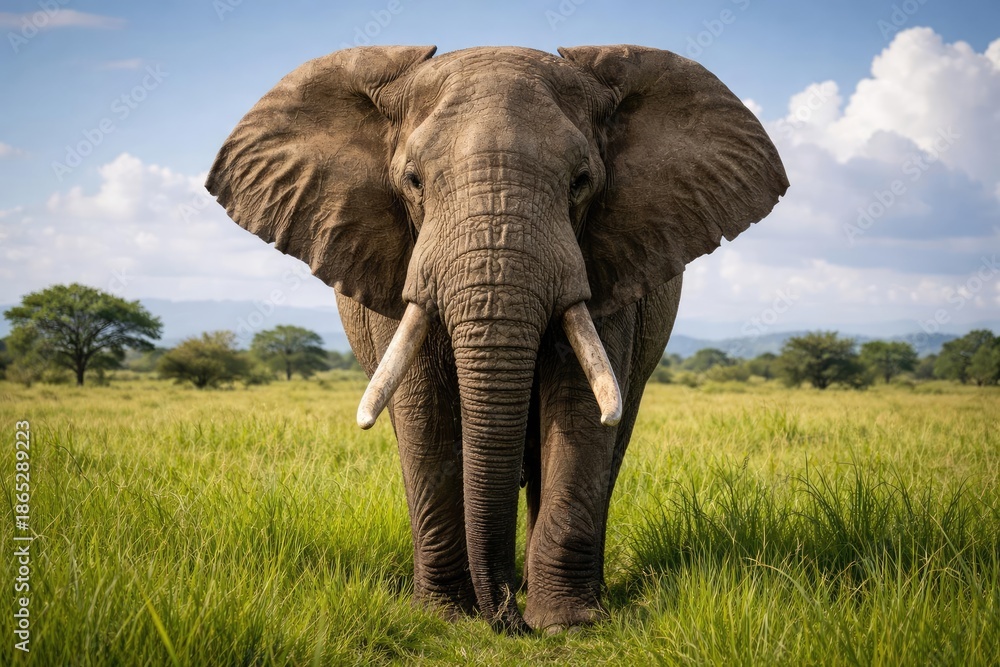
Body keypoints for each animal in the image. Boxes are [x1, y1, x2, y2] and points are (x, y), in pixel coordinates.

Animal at [206, 44, 787, 634]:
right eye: (413, 181)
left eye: (581, 181)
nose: (508, 622)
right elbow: (422, 409)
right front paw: (445, 618)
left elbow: (581, 406)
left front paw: (566, 624)